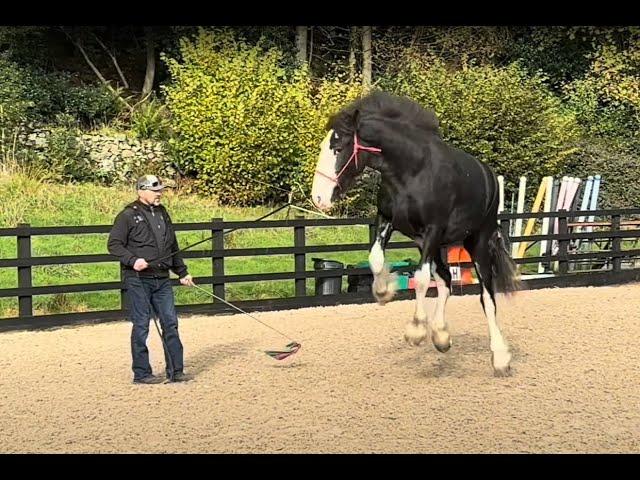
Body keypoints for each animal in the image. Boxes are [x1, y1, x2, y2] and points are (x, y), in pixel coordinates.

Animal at [312, 90, 524, 376]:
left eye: (337, 148)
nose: (318, 198)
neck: (413, 170)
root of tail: (490, 178)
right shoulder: (389, 220)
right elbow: (376, 259)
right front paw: (384, 292)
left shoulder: (433, 230)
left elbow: (422, 280)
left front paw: (416, 330)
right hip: (430, 245)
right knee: (445, 279)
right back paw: (441, 336)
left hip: (477, 242)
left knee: (487, 297)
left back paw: (500, 357)